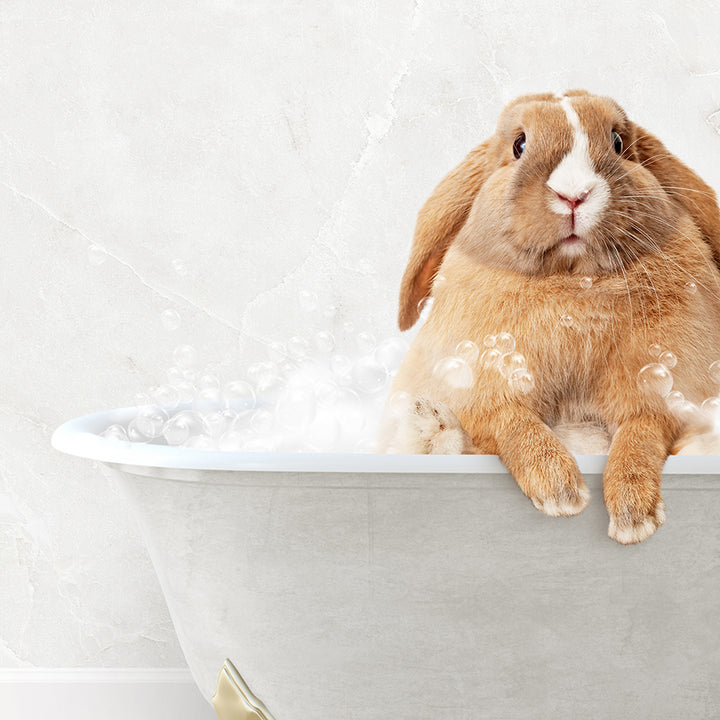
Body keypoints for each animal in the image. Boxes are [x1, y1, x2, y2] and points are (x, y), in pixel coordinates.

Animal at [380, 87, 720, 544]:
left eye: (617, 142)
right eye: (519, 145)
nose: (574, 195)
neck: (572, 283)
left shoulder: (661, 391)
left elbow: (640, 434)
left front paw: (633, 517)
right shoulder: (483, 384)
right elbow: (512, 421)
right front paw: (561, 492)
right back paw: (430, 423)